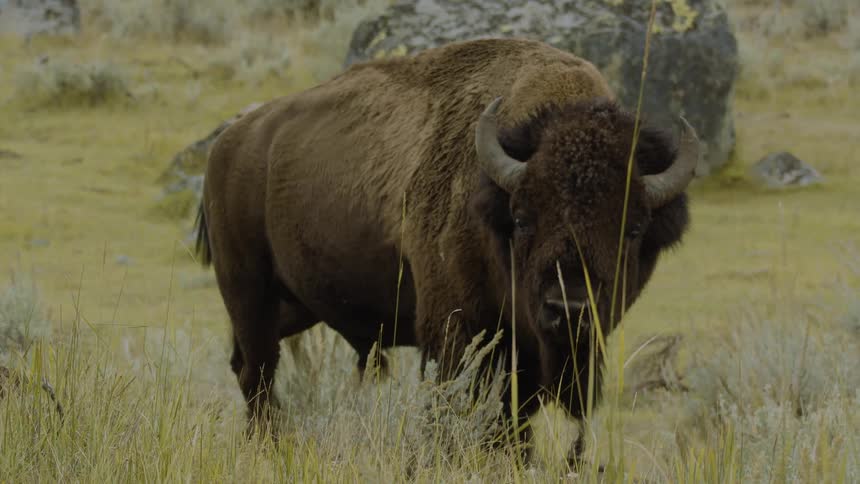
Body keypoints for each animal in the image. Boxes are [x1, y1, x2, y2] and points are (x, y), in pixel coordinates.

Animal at [195, 38, 697, 460]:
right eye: (522, 219)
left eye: (634, 228)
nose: (569, 307)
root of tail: (229, 141)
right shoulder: (454, 329)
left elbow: (517, 418)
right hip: (248, 291)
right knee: (257, 373)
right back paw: (267, 444)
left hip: (295, 304)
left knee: (247, 364)